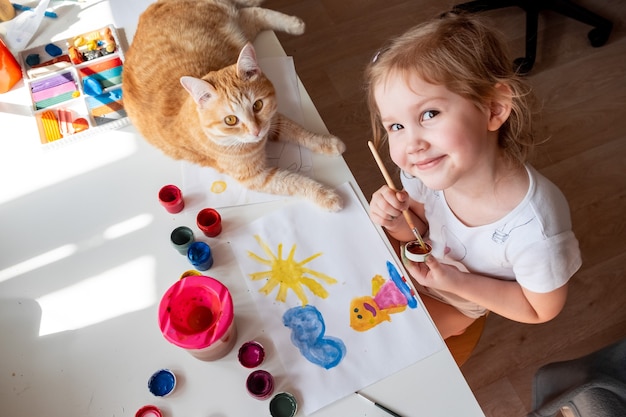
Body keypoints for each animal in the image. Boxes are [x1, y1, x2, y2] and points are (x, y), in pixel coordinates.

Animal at [122, 0, 346, 208]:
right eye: (230, 120)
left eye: (257, 105)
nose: (256, 131)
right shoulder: (258, 177)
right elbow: (296, 182)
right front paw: (327, 195)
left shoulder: (273, 119)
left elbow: (301, 132)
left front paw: (328, 142)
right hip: (238, 31)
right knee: (250, 13)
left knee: (253, 11)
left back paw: (294, 24)